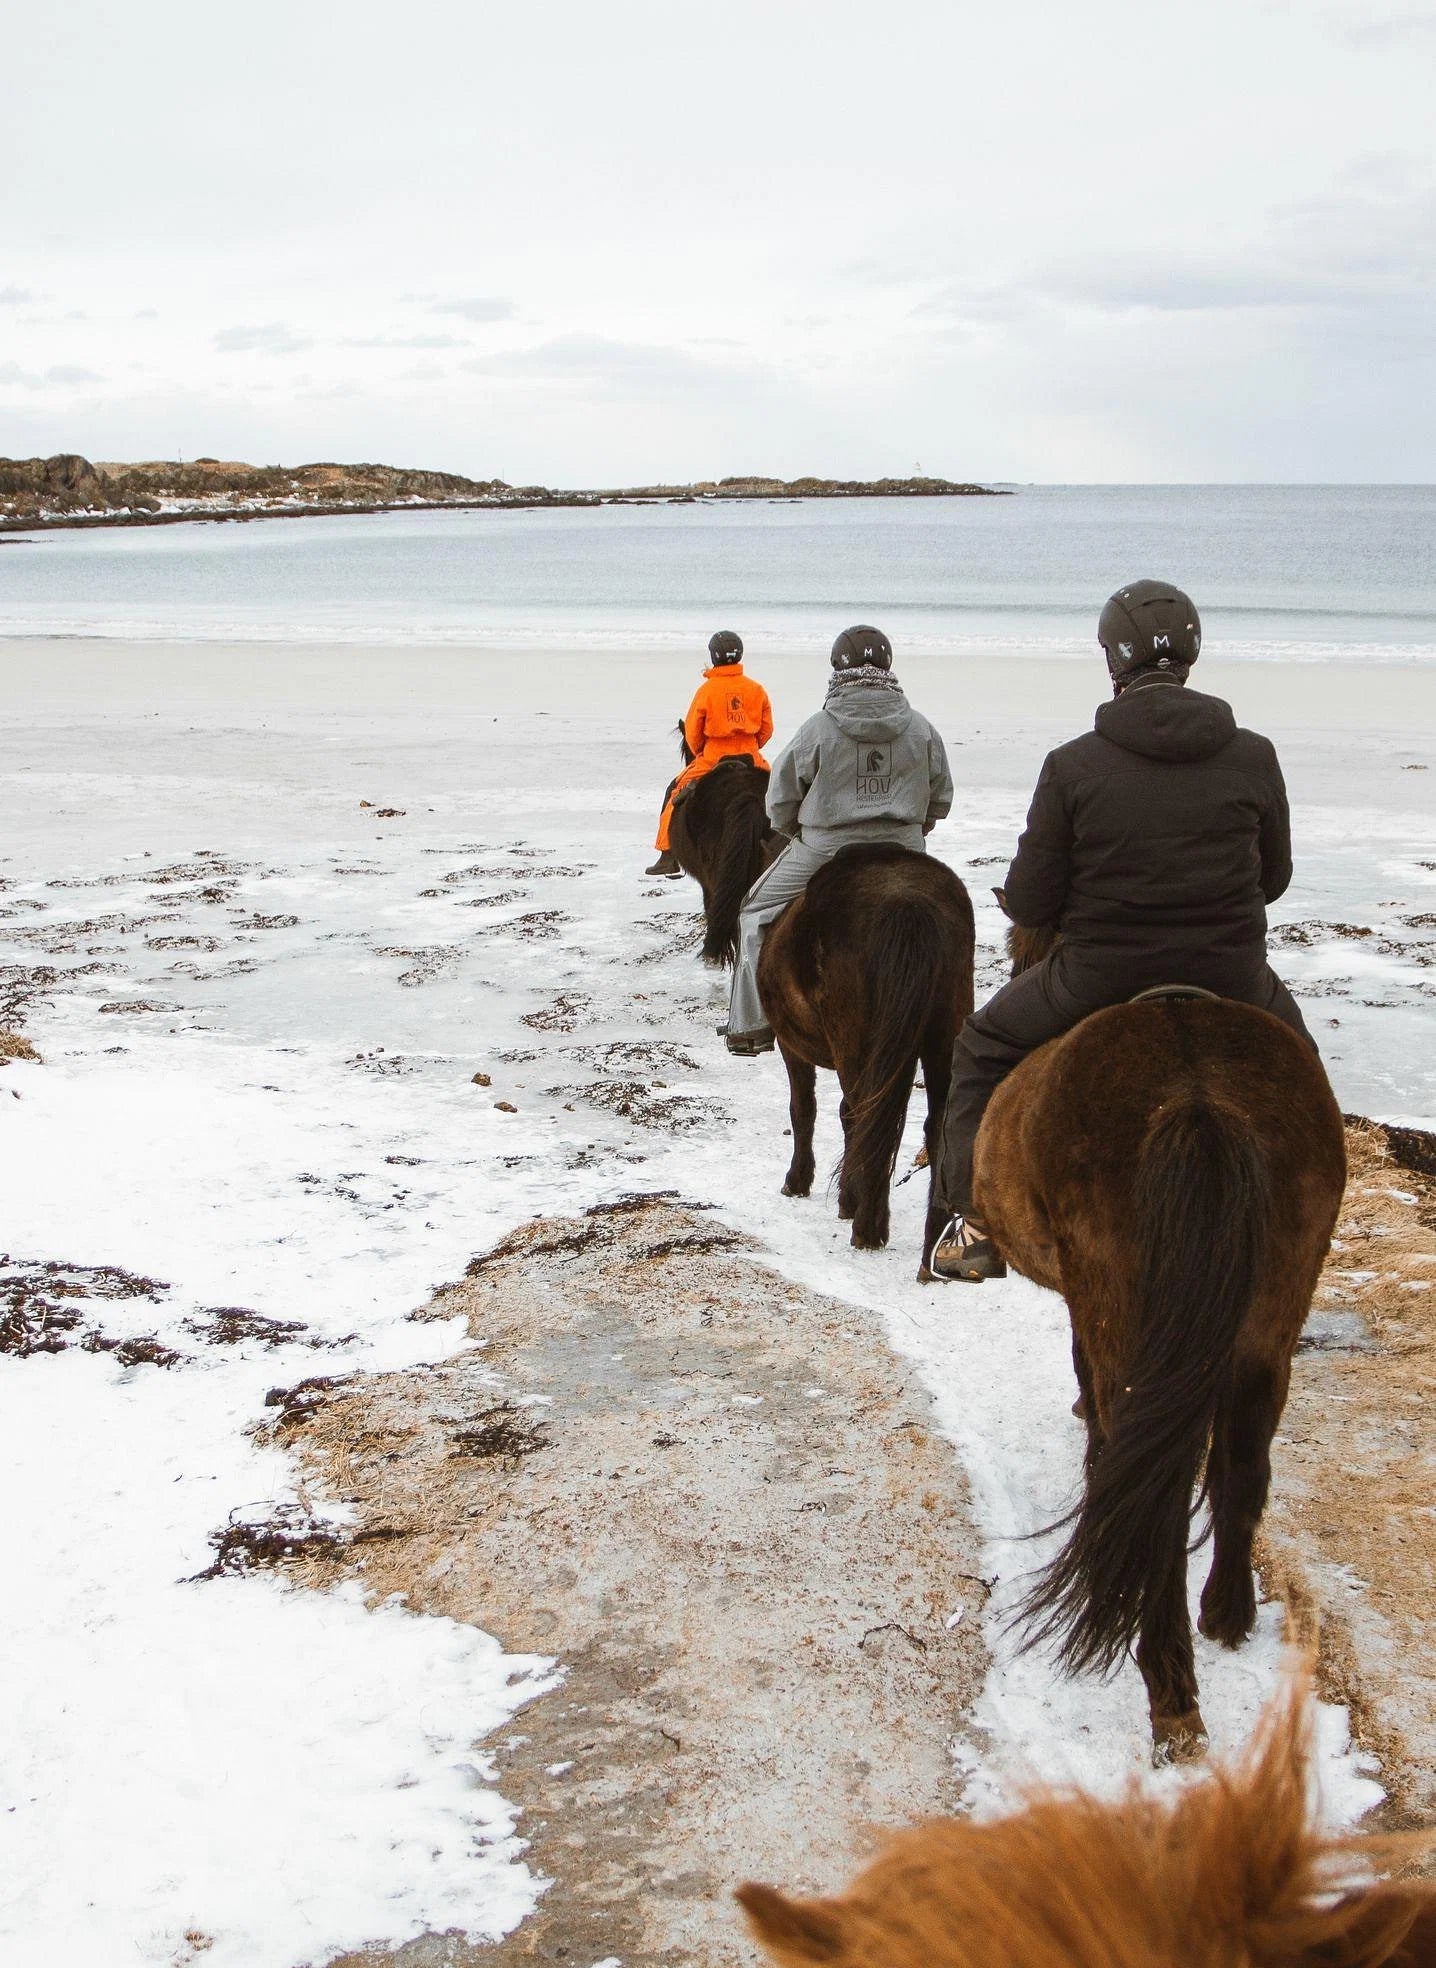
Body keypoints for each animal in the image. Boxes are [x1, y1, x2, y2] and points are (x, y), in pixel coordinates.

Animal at [751, 842, 971, 1243]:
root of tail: (908, 904)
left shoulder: (792, 1048)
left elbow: (804, 1109)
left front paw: (803, 1181)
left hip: (854, 1044)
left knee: (868, 1114)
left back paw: (867, 1226)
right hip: (943, 1032)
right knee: (934, 1127)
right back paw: (934, 1234)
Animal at [971, 913, 1345, 1763]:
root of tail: (1198, 1091)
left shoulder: (1087, 1307)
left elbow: (1093, 1398)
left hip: (1125, 1313)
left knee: (1159, 1495)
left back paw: (1171, 1695)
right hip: (1270, 1323)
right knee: (1241, 1467)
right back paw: (1226, 1615)